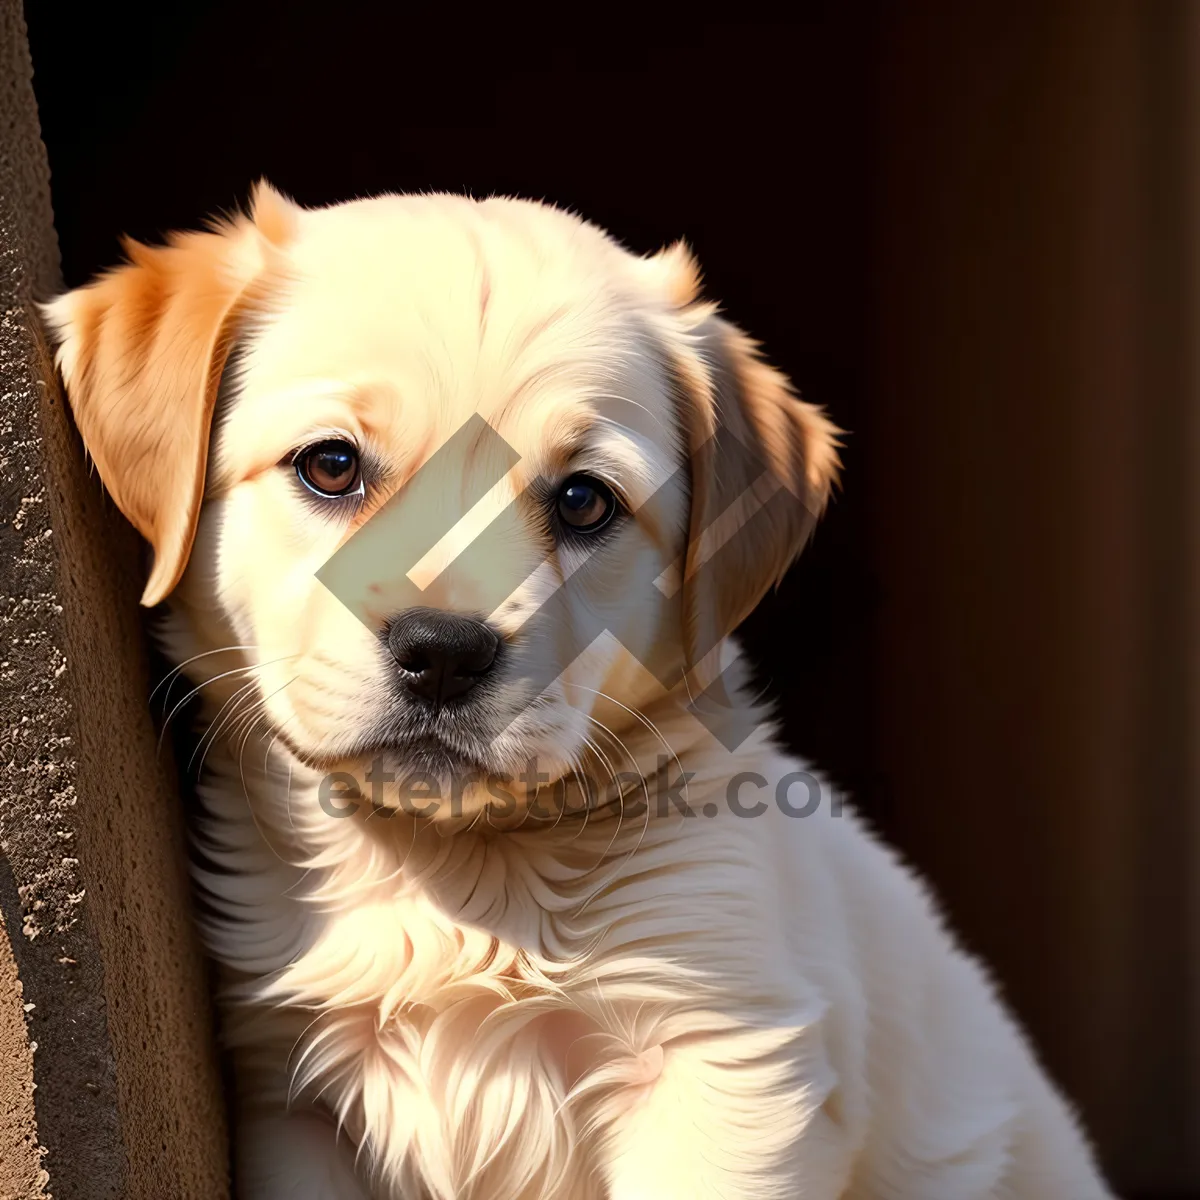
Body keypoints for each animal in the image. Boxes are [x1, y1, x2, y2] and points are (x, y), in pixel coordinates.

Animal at [44, 184, 1113, 1200]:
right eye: (331, 465)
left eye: (585, 500)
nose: (444, 652)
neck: (456, 875)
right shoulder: (293, 1111)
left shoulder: (724, 1076)